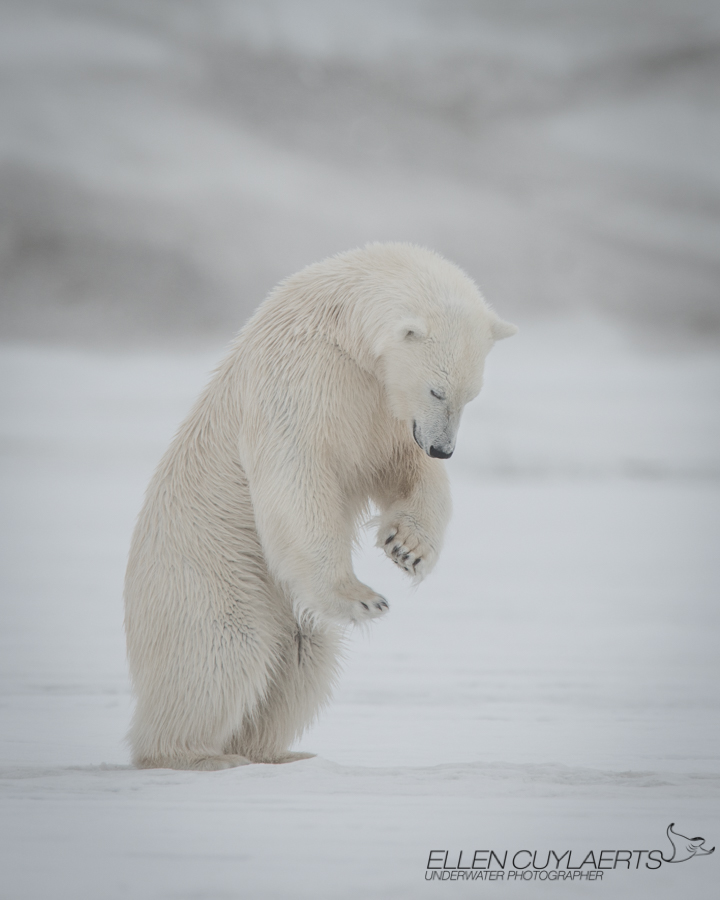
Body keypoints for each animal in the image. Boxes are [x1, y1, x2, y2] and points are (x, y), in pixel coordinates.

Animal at [125, 241, 516, 768]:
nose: (443, 448)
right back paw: (196, 754)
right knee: (221, 651)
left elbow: (405, 470)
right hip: (208, 567)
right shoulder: (302, 378)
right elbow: (299, 478)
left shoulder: (382, 407)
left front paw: (408, 548)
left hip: (281, 606)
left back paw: (279, 752)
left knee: (302, 659)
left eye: (471, 394)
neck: (343, 325)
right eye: (437, 388)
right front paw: (366, 597)